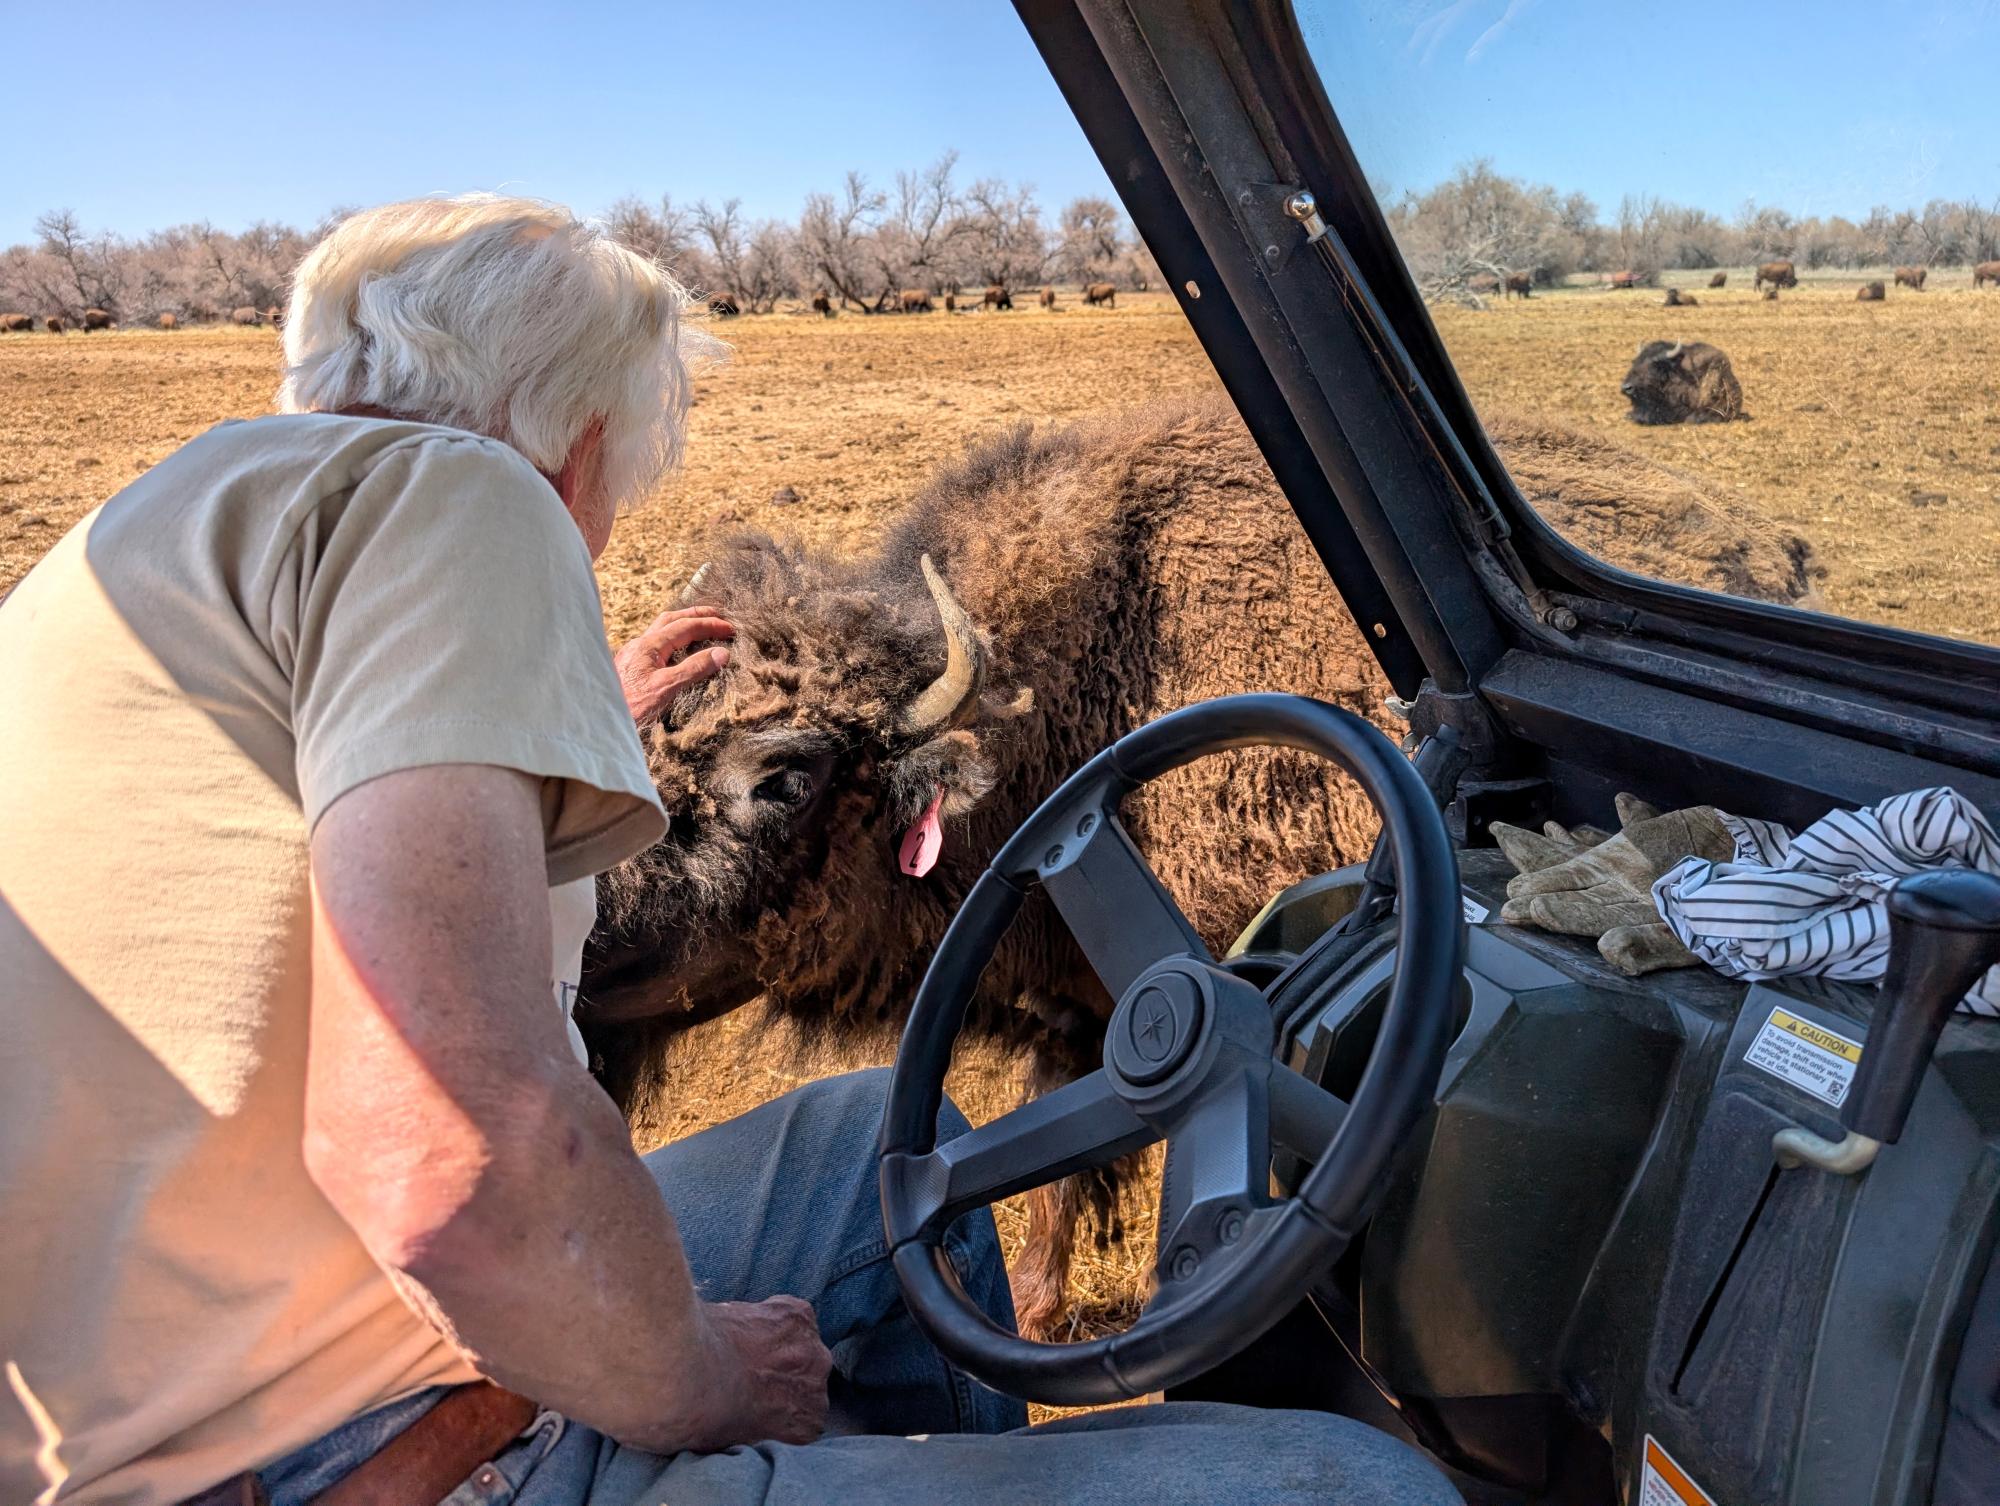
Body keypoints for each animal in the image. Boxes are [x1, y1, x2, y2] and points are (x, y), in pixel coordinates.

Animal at [583, 397, 1813, 1333]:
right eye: (652, 724)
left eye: (784, 776)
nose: (586, 949)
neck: (1064, 682)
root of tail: (1766, 546)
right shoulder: (1066, 992)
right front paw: (1039, 1302)